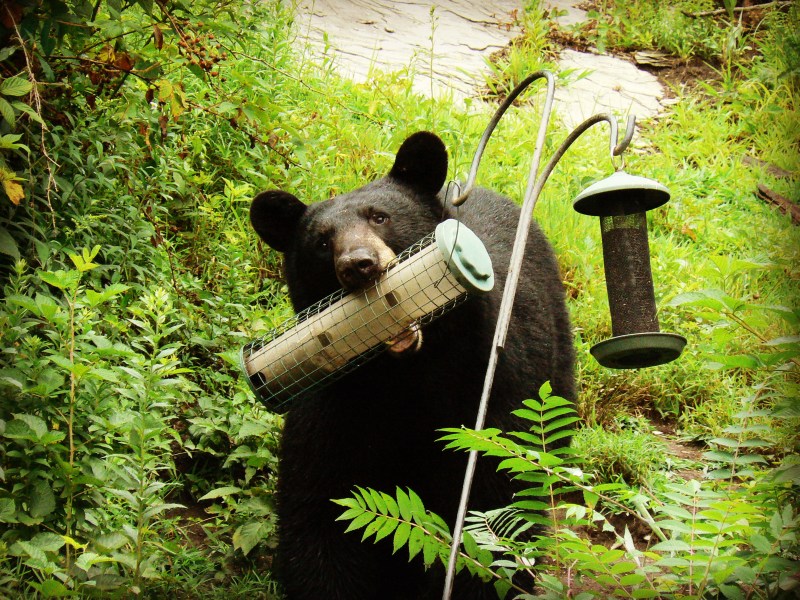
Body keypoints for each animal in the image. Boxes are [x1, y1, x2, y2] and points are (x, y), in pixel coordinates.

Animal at [249, 131, 575, 599]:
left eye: (379, 217)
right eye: (323, 241)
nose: (359, 265)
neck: (407, 378)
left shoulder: (492, 384)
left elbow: (494, 501)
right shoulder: (335, 406)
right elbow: (321, 510)